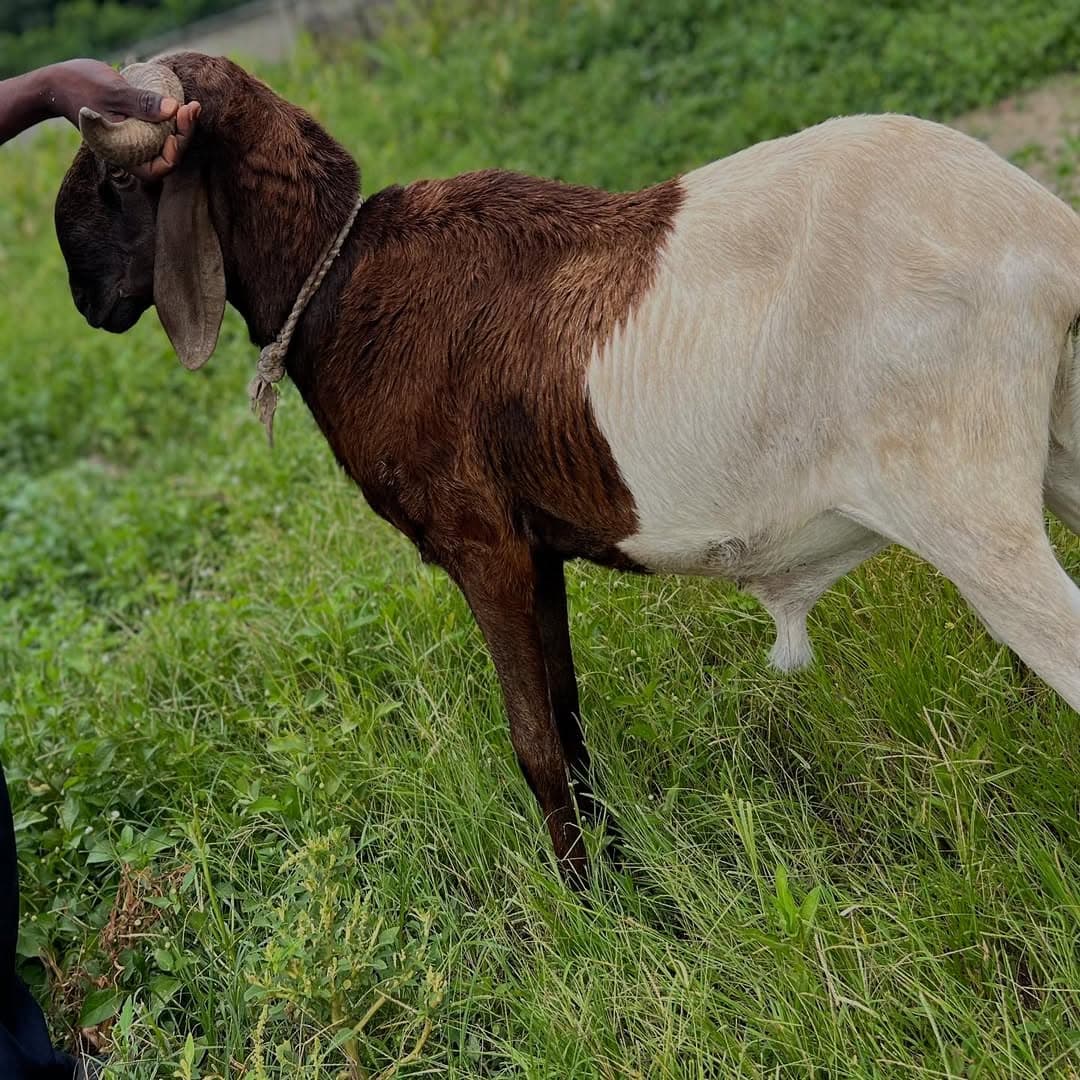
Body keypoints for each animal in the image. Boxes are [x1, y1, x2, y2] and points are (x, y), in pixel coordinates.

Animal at [53, 52, 1080, 886]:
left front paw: (586, 906)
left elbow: (536, 744)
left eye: (117, 178)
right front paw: (620, 879)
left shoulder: (484, 547)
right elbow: (570, 725)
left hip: (968, 503)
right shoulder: (536, 551)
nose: (85, 294)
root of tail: (1047, 236)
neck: (340, 276)